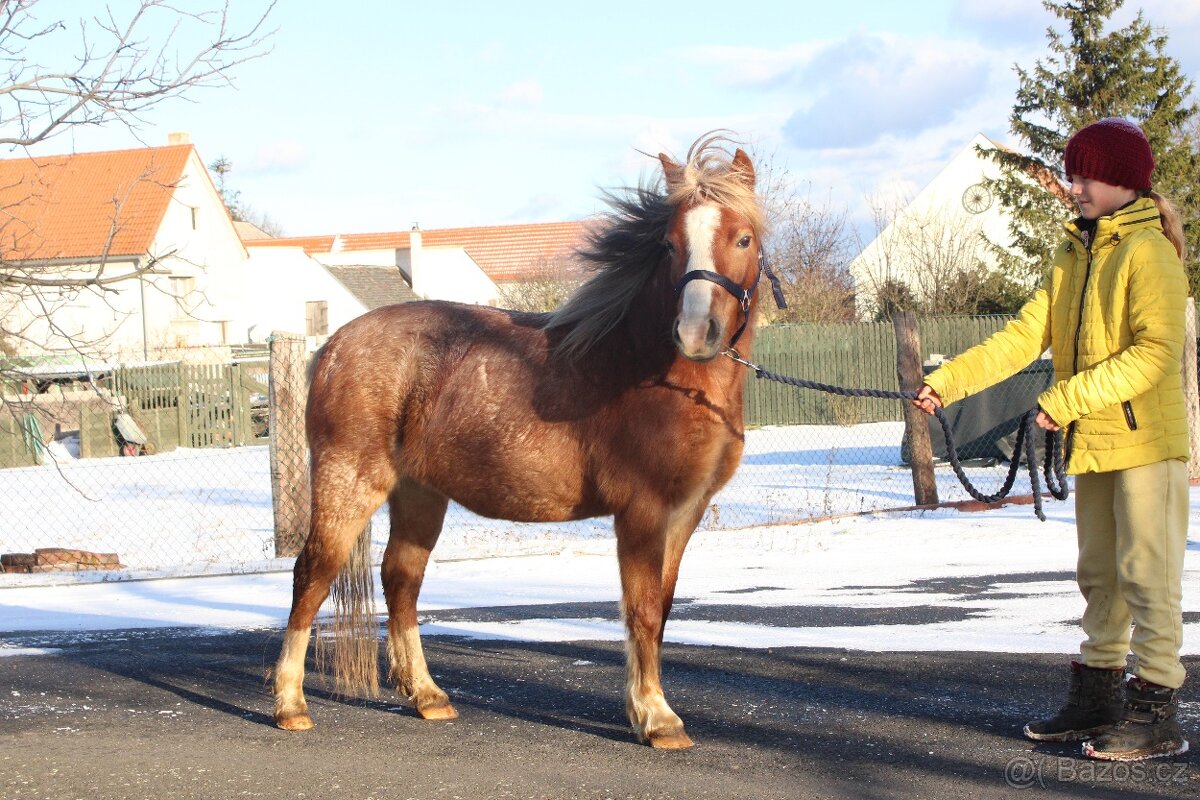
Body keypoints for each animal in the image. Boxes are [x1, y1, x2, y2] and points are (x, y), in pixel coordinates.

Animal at [273, 133, 769, 749]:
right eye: (671, 244)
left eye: (742, 238)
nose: (696, 333)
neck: (659, 375)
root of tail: (333, 346)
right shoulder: (642, 512)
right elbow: (643, 611)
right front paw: (656, 718)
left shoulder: (685, 512)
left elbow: (663, 607)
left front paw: (647, 709)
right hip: (349, 485)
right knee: (311, 575)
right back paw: (290, 705)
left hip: (419, 496)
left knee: (401, 581)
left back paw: (428, 697)